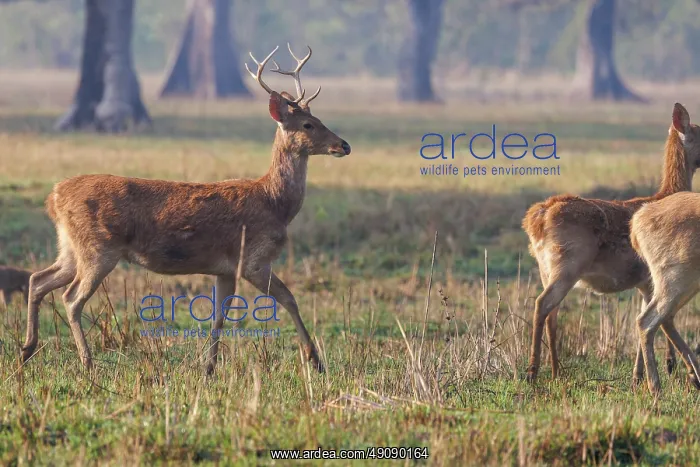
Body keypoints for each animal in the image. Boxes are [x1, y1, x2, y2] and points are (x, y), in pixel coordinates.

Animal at [20, 44, 351, 374]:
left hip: (70, 246)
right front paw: (315, 360)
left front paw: (209, 368)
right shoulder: (253, 258)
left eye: (318, 118)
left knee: (38, 280)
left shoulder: (226, 268)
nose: (344, 145)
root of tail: (54, 197)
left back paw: (27, 349)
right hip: (98, 247)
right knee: (71, 297)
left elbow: (219, 315)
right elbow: (289, 298)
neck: (276, 204)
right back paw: (87, 362)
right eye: (308, 124)